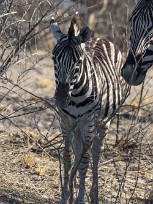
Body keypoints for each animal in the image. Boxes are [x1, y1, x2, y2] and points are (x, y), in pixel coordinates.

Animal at [50, 16, 128, 203]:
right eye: (54, 59)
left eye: (78, 62)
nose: (61, 99)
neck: (75, 95)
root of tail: (101, 38)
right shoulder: (66, 122)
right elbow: (67, 158)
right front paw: (66, 196)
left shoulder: (89, 123)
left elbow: (84, 162)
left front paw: (79, 199)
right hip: (78, 126)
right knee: (79, 151)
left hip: (104, 123)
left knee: (95, 155)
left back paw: (94, 196)